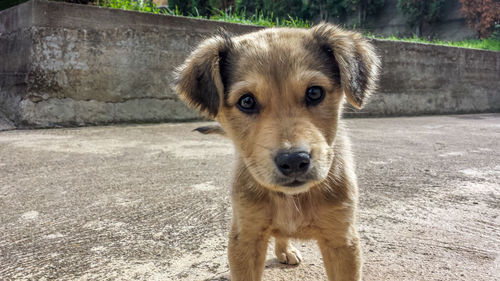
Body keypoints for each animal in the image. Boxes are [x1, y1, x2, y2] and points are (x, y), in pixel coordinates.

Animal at [175, 23, 378, 280]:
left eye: (314, 93)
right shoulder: (245, 237)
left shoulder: (342, 239)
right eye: (247, 101)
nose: (294, 161)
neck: (291, 198)